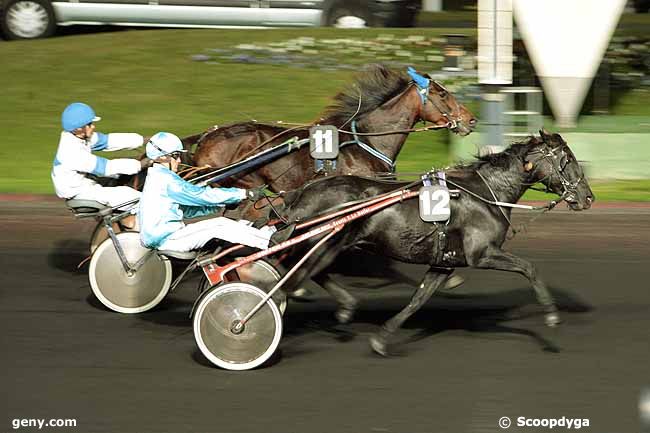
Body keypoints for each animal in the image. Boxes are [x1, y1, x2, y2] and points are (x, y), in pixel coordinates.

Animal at [268, 130, 592, 356]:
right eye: (567, 160)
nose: (588, 197)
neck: (485, 193)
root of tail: (302, 192)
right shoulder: (482, 254)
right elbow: (529, 268)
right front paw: (552, 315)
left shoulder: (443, 263)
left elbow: (417, 300)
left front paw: (382, 339)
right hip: (325, 244)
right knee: (291, 280)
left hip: (326, 246)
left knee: (306, 275)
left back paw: (345, 307)